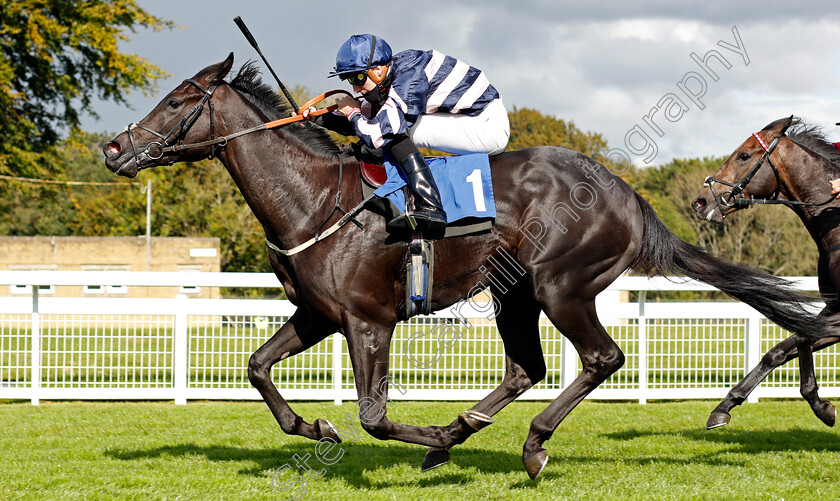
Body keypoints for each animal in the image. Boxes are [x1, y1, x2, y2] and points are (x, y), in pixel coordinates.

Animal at [692, 116, 836, 430]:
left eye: (744, 155)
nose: (700, 201)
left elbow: (800, 338)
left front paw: (821, 405)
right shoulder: (834, 309)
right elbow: (781, 349)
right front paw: (724, 406)